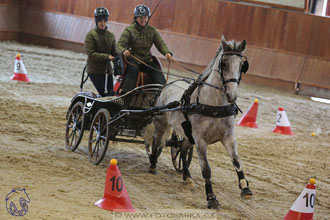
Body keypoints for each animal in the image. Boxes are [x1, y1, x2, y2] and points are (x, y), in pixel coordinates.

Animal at [150, 35, 253, 209]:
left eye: (242, 65)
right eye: (224, 64)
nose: (232, 95)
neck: (214, 105)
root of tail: (168, 84)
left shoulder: (228, 136)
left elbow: (237, 162)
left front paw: (245, 189)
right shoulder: (200, 140)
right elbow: (206, 170)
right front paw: (211, 198)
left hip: (186, 134)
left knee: (183, 149)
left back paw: (187, 177)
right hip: (162, 123)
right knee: (157, 141)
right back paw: (152, 164)